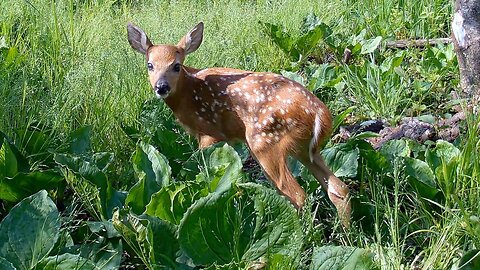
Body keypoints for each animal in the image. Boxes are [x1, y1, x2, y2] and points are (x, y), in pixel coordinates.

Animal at [126, 21, 352, 226]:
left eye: (176, 65)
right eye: (150, 65)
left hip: (265, 141)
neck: (187, 93)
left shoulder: (209, 133)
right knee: (338, 188)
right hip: (304, 148)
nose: (161, 87)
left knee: (297, 194)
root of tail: (320, 113)